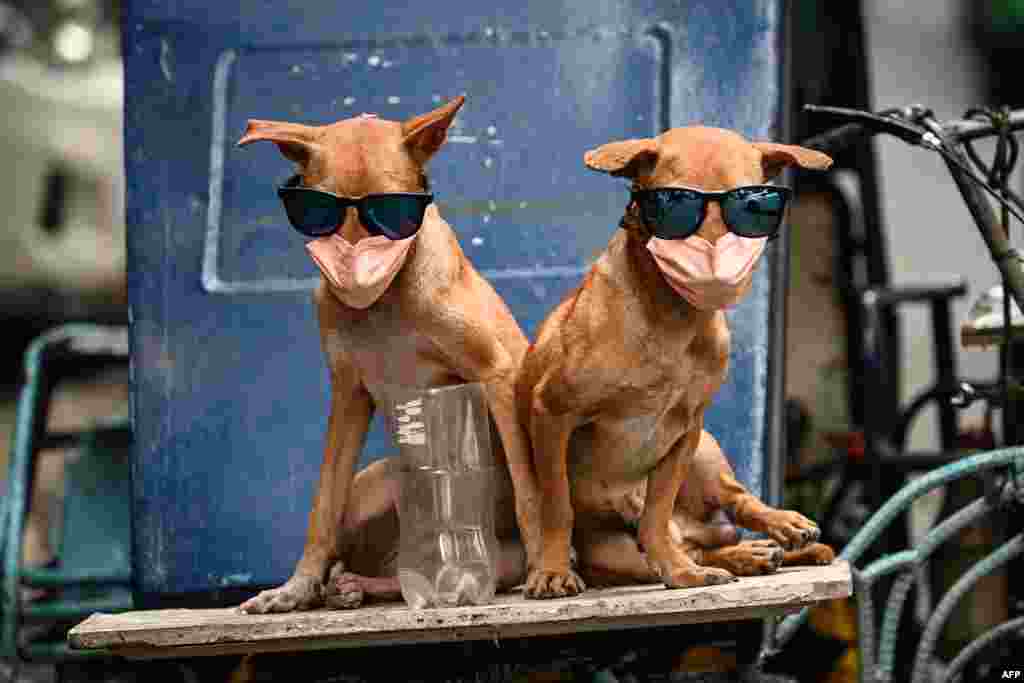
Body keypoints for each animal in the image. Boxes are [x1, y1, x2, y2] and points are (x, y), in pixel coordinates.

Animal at [233, 96, 544, 614]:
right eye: (319, 210)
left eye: (391, 210)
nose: (352, 271)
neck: (384, 303)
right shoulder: (348, 396)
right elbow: (322, 505)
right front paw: (295, 587)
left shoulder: (497, 373)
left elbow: (528, 487)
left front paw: (550, 565)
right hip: (373, 487)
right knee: (384, 560)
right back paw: (350, 584)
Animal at [516, 126, 835, 598]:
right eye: (673, 204)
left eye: (752, 205)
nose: (716, 269)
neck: (672, 318)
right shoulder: (553, 414)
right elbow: (557, 506)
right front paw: (553, 569)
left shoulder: (685, 430)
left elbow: (656, 513)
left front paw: (679, 572)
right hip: (617, 551)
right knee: (689, 547)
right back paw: (748, 555)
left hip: (706, 451)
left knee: (730, 503)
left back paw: (774, 529)